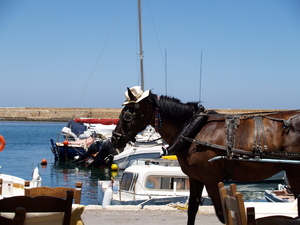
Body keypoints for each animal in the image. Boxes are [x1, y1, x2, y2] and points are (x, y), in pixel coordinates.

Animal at [111, 86, 300, 225]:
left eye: (126, 114)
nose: (114, 138)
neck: (193, 130)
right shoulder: (196, 179)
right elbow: (192, 210)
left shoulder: (212, 180)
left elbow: (222, 214)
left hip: (294, 172)